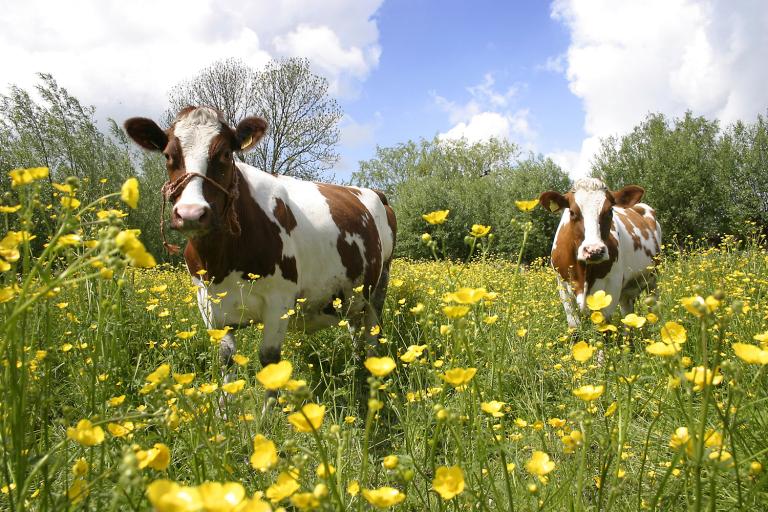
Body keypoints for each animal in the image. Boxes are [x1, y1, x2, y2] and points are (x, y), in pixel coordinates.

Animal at [124, 108, 396, 408]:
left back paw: (372, 373)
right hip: (352, 292)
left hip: (380, 283)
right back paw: (358, 365)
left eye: (225, 154)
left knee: (373, 330)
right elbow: (225, 358)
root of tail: (374, 192)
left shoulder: (280, 300)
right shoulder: (207, 302)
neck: (221, 263)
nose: (191, 213)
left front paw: (267, 416)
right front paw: (224, 411)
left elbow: (269, 360)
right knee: (355, 327)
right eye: (168, 155)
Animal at [536, 178, 664, 326]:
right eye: (572, 212)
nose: (594, 250)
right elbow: (574, 326)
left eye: (609, 211)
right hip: (627, 292)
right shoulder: (563, 287)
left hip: (653, 280)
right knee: (627, 313)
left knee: (653, 307)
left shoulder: (612, 285)